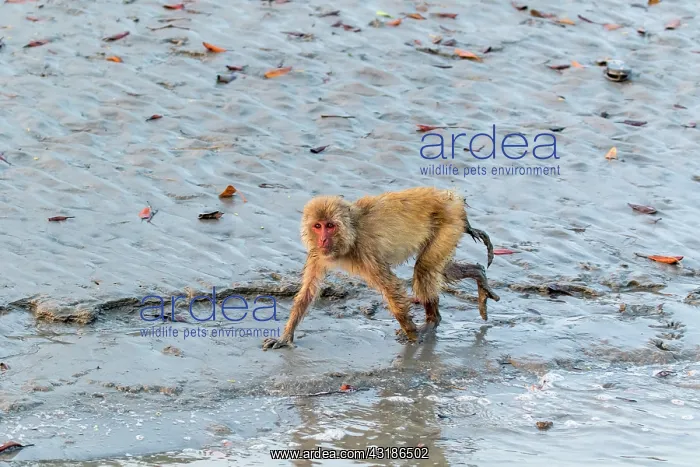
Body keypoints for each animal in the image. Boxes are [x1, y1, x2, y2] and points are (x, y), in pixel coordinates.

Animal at [262, 187, 500, 350]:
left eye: (330, 226)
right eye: (317, 226)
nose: (322, 239)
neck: (351, 235)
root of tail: (451, 198)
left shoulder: (365, 250)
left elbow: (391, 287)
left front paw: (412, 334)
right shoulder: (317, 254)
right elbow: (308, 291)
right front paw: (285, 337)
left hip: (449, 224)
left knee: (425, 268)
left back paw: (432, 322)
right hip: (451, 227)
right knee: (437, 268)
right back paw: (478, 273)